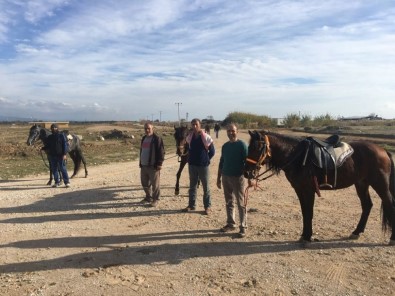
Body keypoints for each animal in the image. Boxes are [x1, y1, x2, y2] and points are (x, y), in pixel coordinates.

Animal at [244, 131, 395, 246]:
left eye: (257, 148)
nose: (246, 172)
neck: (297, 156)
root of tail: (383, 151)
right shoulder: (299, 189)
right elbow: (304, 212)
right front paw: (304, 235)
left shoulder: (309, 190)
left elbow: (309, 213)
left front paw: (307, 237)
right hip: (361, 183)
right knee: (367, 205)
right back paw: (356, 232)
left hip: (380, 184)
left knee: (389, 204)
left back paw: (392, 238)